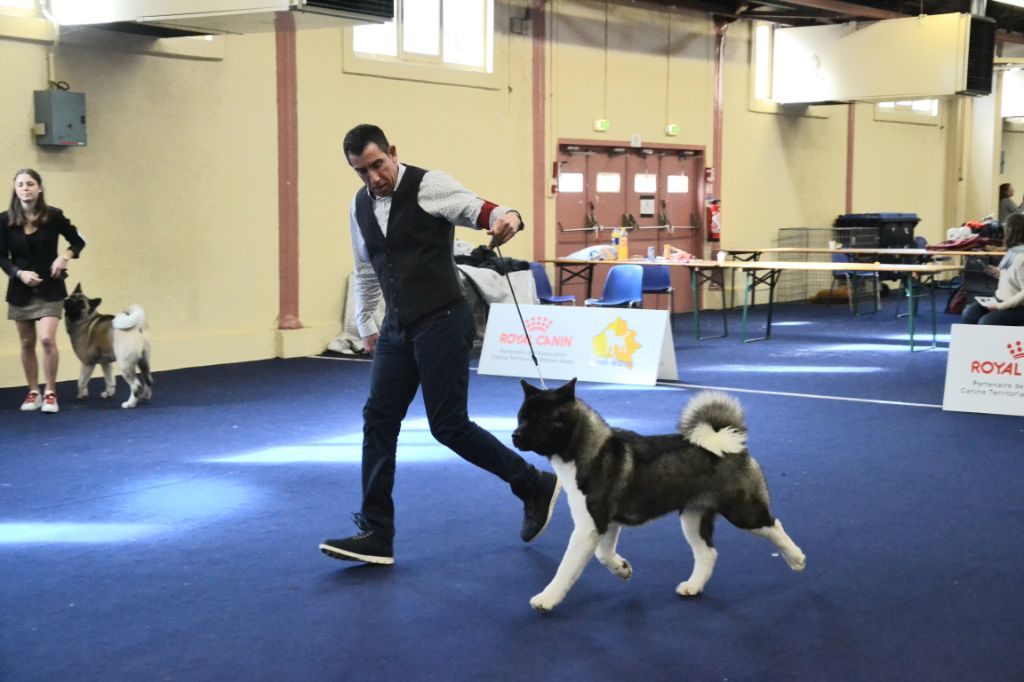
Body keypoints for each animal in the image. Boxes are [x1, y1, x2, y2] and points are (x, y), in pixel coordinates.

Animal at [511, 378, 805, 612]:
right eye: (521, 417)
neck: (589, 450)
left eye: (539, 420)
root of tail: (732, 444)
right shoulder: (604, 524)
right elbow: (604, 555)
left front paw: (546, 599)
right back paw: (693, 586)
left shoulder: (588, 527)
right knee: (707, 554)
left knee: (773, 526)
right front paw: (622, 569)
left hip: (743, 511)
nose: (514, 436)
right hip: (693, 518)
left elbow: (566, 567)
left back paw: (797, 559)